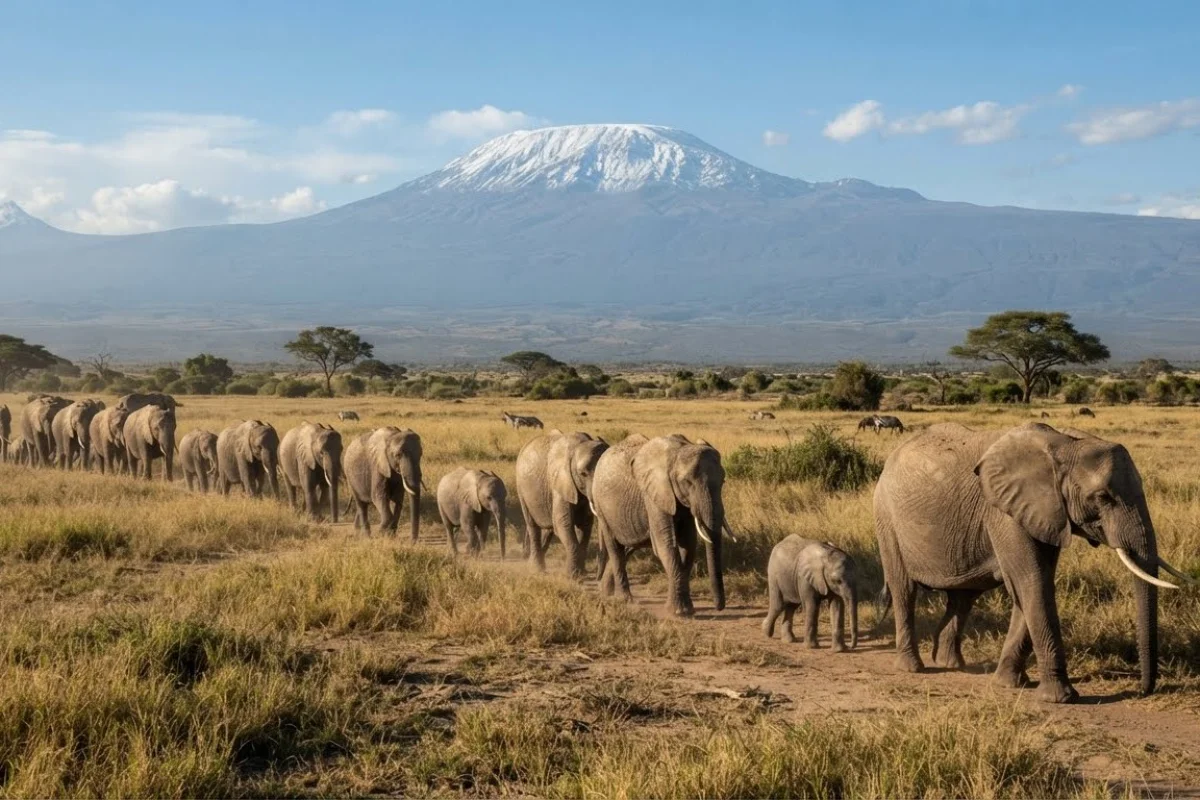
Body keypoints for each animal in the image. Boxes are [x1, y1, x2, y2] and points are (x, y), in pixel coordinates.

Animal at [514, 430, 608, 577]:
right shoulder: (560, 481)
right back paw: (536, 570)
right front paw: (572, 576)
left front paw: (580, 572)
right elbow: (563, 522)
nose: (597, 576)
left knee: (548, 528)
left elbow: (585, 525)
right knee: (533, 526)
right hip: (521, 489)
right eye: (583, 474)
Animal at [592, 434, 729, 616]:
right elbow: (666, 545)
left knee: (631, 544)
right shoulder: (655, 494)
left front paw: (686, 609)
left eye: (723, 481)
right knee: (615, 547)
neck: (679, 451)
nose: (718, 607)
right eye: (687, 482)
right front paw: (680, 612)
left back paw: (606, 591)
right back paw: (624, 600)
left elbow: (688, 546)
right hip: (601, 507)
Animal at [874, 422, 1189, 703]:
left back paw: (951, 664)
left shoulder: (1047, 514)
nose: (1144, 690)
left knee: (963, 597)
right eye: (1103, 497)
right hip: (887, 519)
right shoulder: (1005, 513)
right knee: (904, 590)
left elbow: (1033, 585)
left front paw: (1009, 683)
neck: (1065, 443)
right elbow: (1032, 583)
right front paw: (1060, 698)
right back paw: (913, 667)